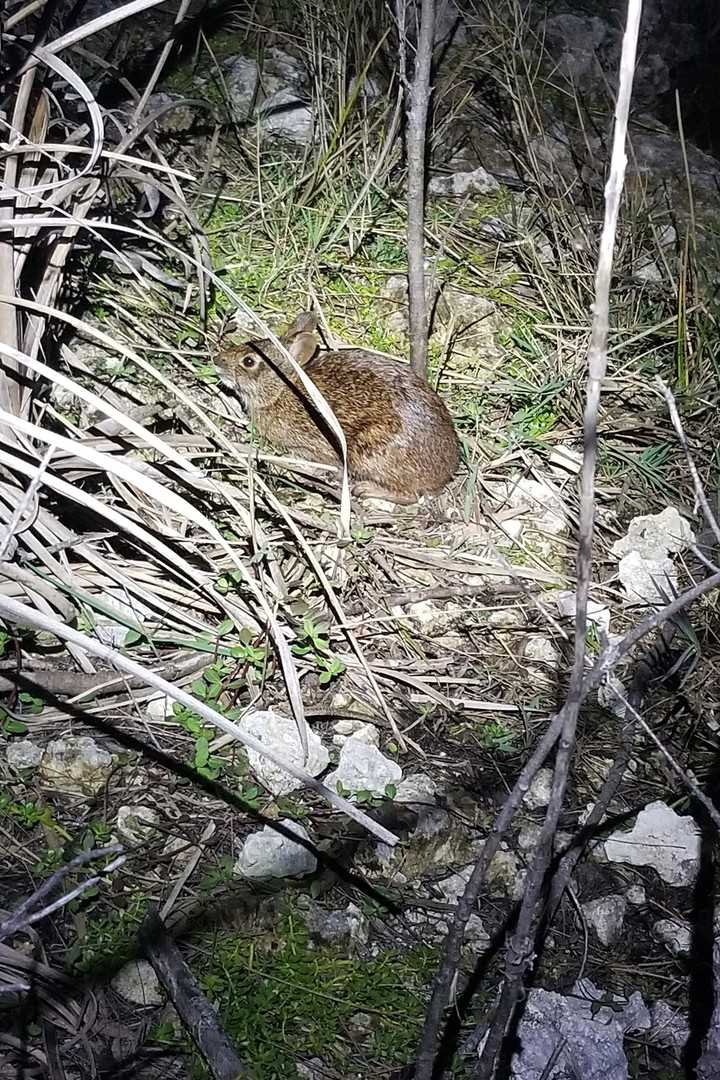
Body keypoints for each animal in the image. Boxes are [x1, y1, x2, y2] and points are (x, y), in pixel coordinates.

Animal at [216, 308, 459, 501]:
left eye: (249, 361)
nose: (217, 360)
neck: (283, 388)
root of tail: (446, 470)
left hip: (373, 454)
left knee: (410, 496)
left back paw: (365, 489)